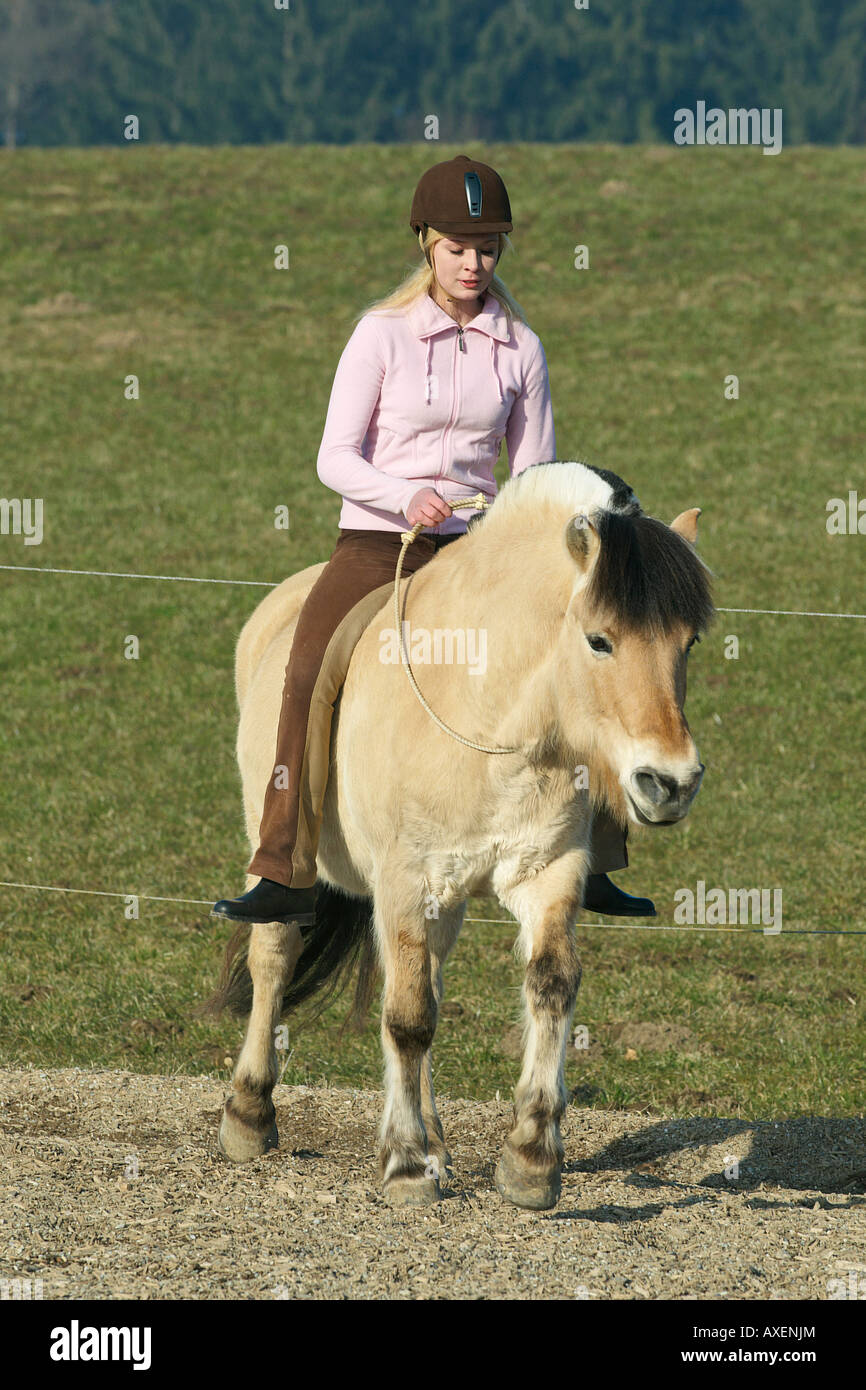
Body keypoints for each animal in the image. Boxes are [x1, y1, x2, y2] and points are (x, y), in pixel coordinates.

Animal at [207, 461, 717, 1212]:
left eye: (688, 643)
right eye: (599, 640)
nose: (671, 783)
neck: (492, 712)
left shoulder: (546, 873)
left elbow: (547, 984)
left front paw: (530, 1159)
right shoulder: (403, 882)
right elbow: (406, 1017)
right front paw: (406, 1166)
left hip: (443, 904)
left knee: (425, 983)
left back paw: (436, 1140)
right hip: (280, 853)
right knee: (275, 955)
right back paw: (249, 1115)